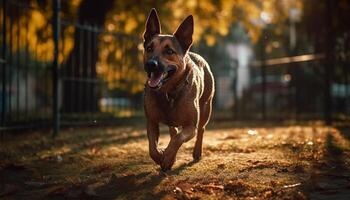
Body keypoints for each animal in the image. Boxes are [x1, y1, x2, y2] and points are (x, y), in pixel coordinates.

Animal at [142, 8, 213, 170]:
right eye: (149, 48)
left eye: (169, 51)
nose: (150, 64)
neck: (168, 92)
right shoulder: (152, 122)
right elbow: (152, 147)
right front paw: (161, 156)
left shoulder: (191, 126)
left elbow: (178, 139)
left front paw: (168, 158)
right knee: (173, 131)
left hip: (206, 108)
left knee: (201, 129)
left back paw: (197, 152)